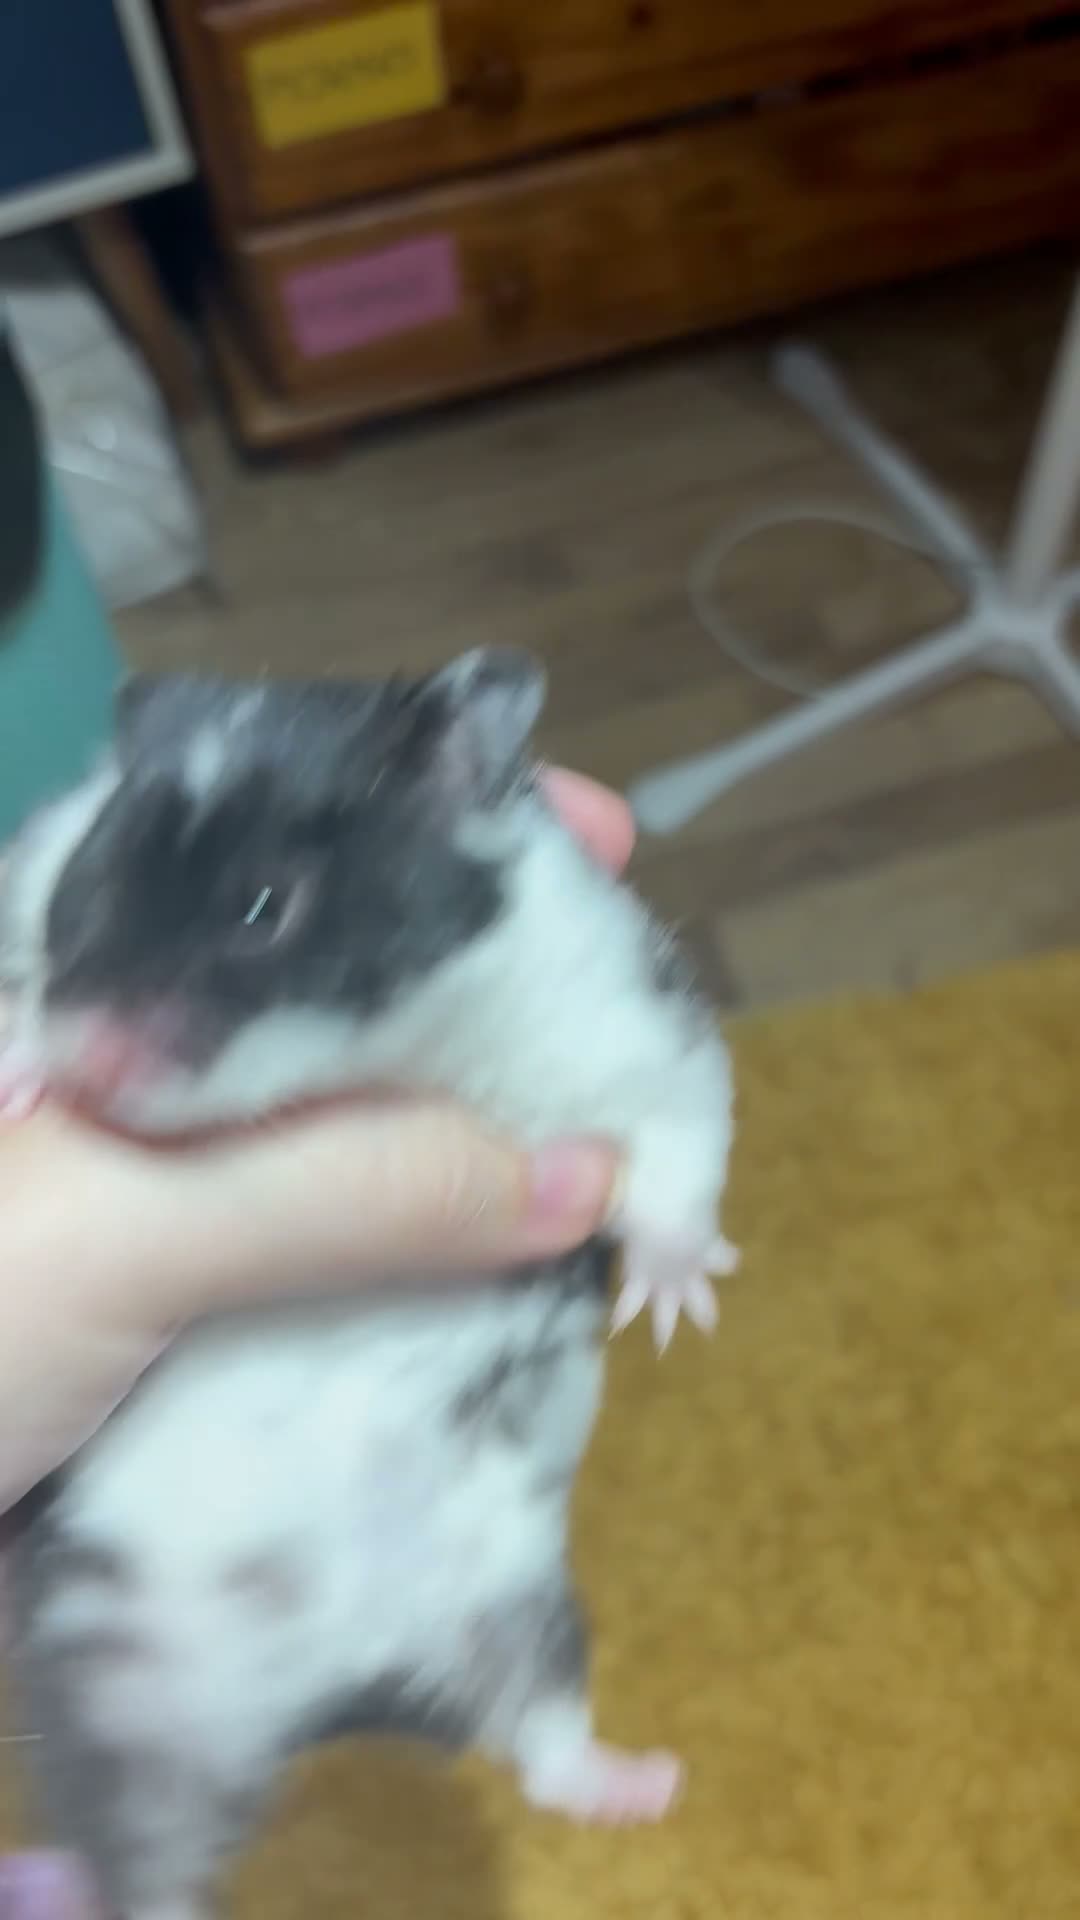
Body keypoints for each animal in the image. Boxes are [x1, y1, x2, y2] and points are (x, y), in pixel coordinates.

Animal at [0, 649, 735, 1920]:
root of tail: (329, 1689)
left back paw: (641, 1785)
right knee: (133, 1874)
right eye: (87, 881)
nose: (91, 1066)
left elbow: (679, 1153)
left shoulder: (634, 1034)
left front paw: (675, 1305)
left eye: (264, 906)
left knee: (541, 1742)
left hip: (520, 1606)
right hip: (114, 1699)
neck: (383, 1054)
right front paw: (24, 1080)